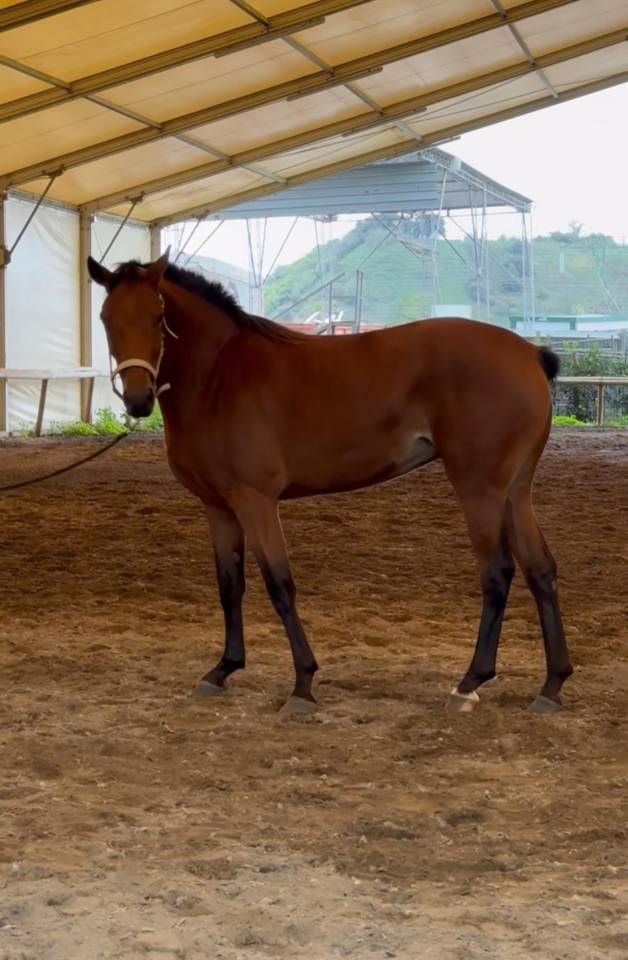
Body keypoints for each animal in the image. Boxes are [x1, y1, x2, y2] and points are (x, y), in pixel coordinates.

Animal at [87, 251, 573, 717]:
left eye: (157, 316)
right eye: (107, 318)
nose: (138, 399)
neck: (217, 374)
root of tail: (530, 353)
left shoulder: (255, 501)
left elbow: (279, 585)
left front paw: (302, 685)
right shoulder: (219, 507)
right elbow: (229, 586)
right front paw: (223, 669)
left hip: (479, 488)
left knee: (498, 573)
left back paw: (469, 682)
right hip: (515, 491)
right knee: (540, 569)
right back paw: (551, 685)